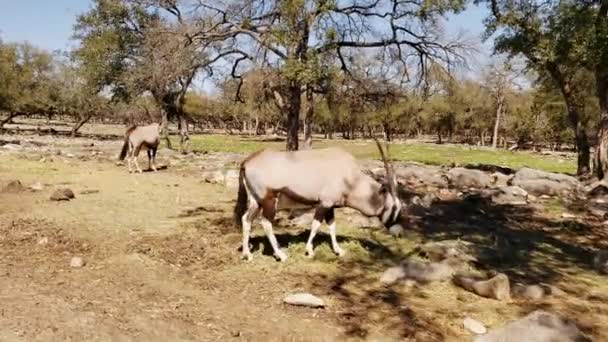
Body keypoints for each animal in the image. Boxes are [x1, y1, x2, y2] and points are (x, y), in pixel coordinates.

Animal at [233, 139, 404, 262]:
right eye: (392, 207)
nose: (398, 232)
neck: (351, 179)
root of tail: (248, 161)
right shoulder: (324, 204)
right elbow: (315, 225)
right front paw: (309, 251)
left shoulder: (331, 206)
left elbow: (332, 227)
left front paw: (338, 250)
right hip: (269, 201)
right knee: (266, 223)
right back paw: (280, 255)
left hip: (256, 201)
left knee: (246, 219)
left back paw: (247, 254)